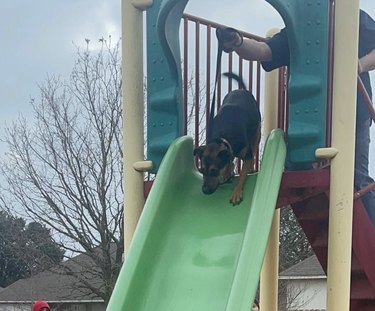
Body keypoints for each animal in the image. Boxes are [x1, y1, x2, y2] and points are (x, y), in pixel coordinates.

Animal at [194, 73, 262, 205]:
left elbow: (242, 175)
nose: (205, 191)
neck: (222, 139)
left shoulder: (246, 155)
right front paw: (227, 173)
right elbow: (229, 161)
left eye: (214, 171)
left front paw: (236, 192)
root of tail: (241, 90)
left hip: (257, 133)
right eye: (201, 171)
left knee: (254, 145)